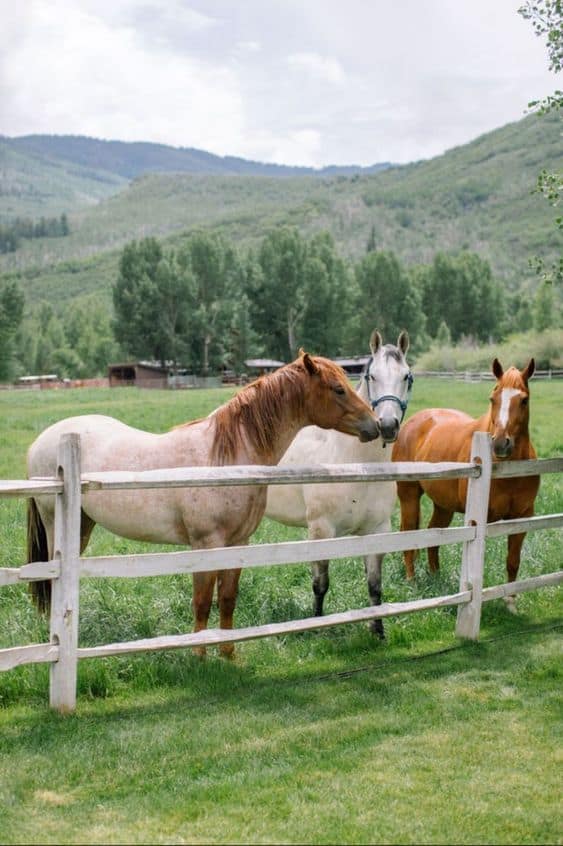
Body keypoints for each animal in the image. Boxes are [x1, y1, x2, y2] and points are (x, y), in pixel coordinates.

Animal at [26, 351, 381, 657]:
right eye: (338, 389)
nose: (376, 426)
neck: (227, 458)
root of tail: (42, 440)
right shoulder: (206, 544)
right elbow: (202, 601)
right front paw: (199, 654)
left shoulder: (237, 543)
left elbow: (226, 599)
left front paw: (227, 652)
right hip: (56, 525)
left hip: (83, 526)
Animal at [265, 330, 413, 637]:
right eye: (372, 376)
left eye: (406, 376)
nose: (387, 425)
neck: (356, 466)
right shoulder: (321, 530)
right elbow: (320, 584)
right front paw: (317, 626)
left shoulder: (377, 531)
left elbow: (374, 586)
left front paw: (378, 630)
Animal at [391, 357, 539, 610]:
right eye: (493, 398)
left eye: (524, 400)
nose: (500, 443)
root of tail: (414, 421)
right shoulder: (480, 520)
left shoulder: (522, 517)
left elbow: (513, 560)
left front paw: (510, 602)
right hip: (408, 495)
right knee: (409, 532)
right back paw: (412, 581)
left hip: (444, 505)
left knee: (433, 534)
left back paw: (436, 577)